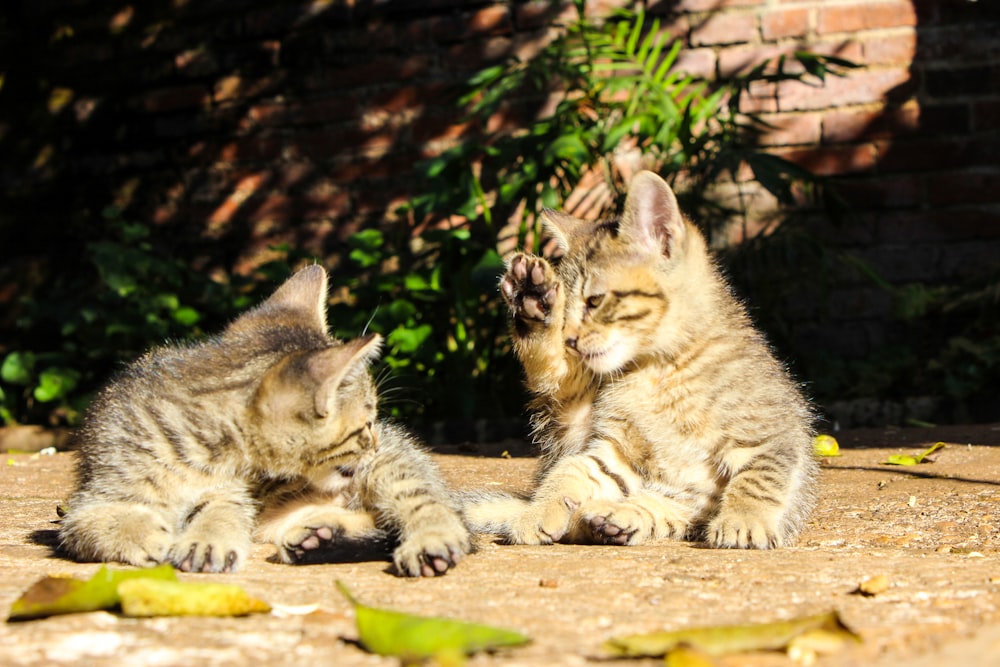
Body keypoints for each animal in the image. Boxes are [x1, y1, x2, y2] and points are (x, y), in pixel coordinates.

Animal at [56, 264, 470, 576]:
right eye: (364, 425)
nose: (376, 440)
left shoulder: (231, 492)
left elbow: (221, 512)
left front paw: (207, 540)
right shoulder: (90, 501)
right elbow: (100, 523)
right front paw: (149, 535)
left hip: (394, 469)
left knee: (438, 513)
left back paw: (429, 542)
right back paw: (321, 537)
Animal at [464, 171, 816, 548]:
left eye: (594, 301)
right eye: (569, 310)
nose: (569, 339)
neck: (658, 370)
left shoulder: (769, 432)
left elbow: (760, 478)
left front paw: (745, 521)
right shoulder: (614, 450)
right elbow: (573, 474)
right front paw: (539, 512)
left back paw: (616, 517)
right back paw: (533, 302)